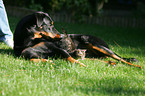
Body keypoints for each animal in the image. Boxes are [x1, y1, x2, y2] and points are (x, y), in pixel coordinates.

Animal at [14, 11, 142, 68]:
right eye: (49, 25)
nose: (61, 36)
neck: (29, 40)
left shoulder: (59, 49)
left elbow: (70, 58)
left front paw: (80, 66)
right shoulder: (24, 53)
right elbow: (31, 57)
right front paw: (48, 61)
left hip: (96, 44)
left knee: (120, 58)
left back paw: (136, 66)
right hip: (90, 55)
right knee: (100, 60)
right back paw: (111, 63)